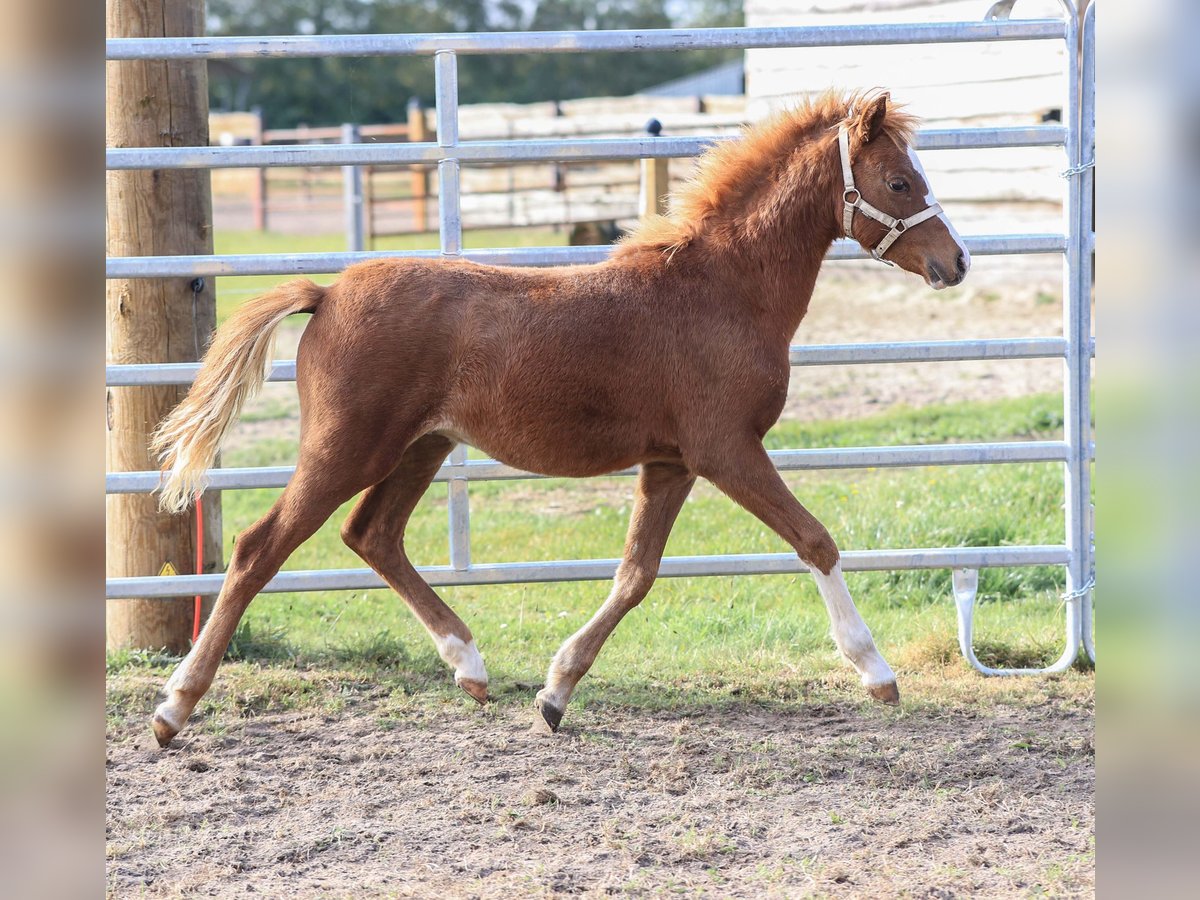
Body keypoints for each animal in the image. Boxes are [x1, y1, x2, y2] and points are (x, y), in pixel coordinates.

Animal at [152, 90, 974, 748]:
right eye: (899, 181)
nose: (956, 262)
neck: (720, 289)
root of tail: (325, 293)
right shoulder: (726, 450)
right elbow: (814, 540)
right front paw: (876, 672)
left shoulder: (671, 462)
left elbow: (636, 575)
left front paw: (554, 693)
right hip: (348, 447)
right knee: (259, 549)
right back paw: (174, 708)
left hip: (421, 447)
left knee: (372, 535)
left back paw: (470, 665)